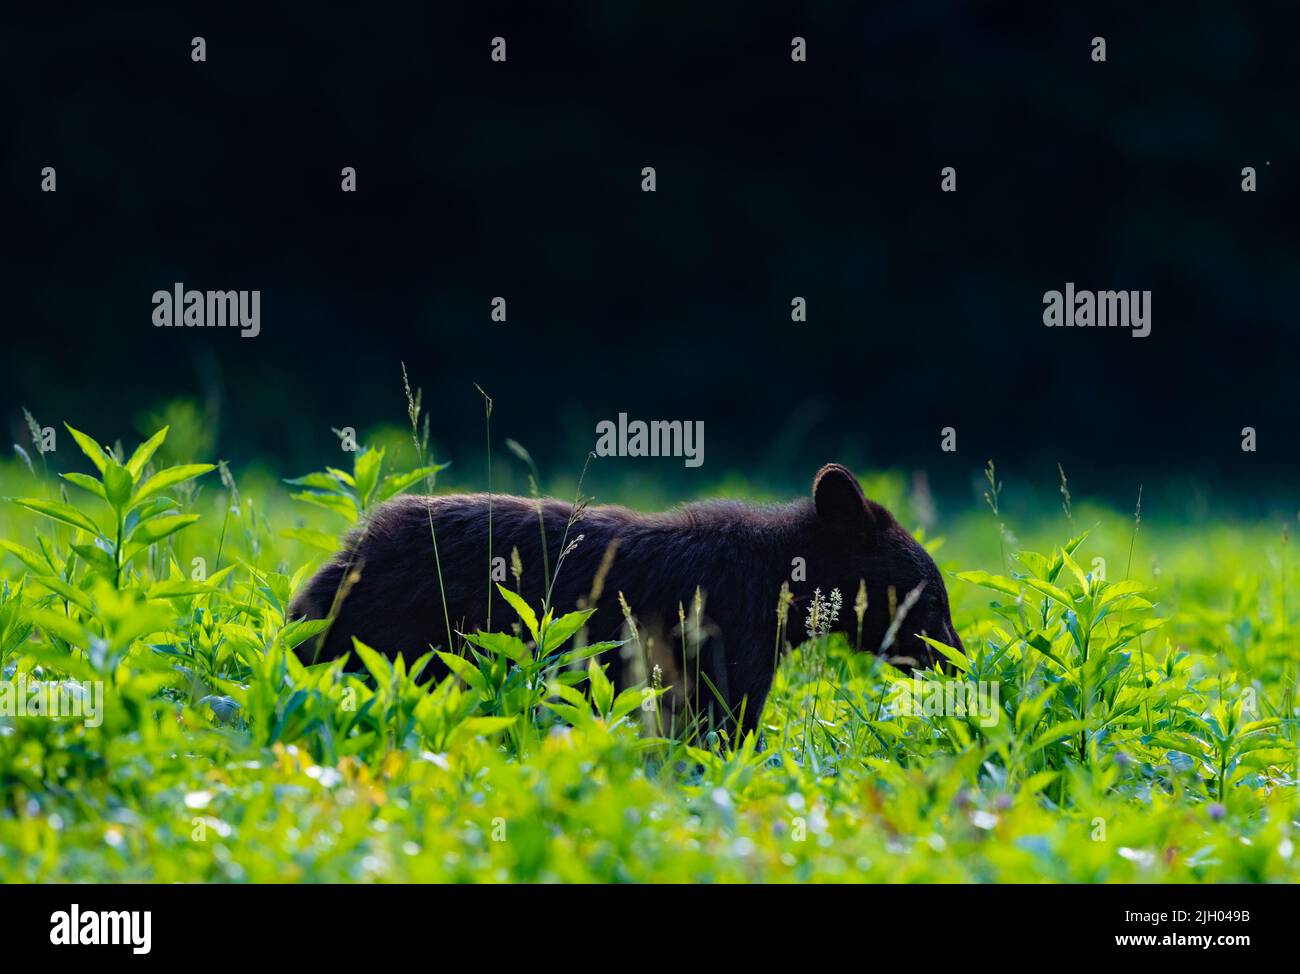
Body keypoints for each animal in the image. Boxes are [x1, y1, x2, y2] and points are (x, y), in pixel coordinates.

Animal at [295, 462, 967, 728]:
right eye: (932, 602)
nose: (960, 661)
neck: (782, 579)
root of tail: (342, 556)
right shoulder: (727, 634)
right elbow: (720, 722)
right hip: (393, 639)